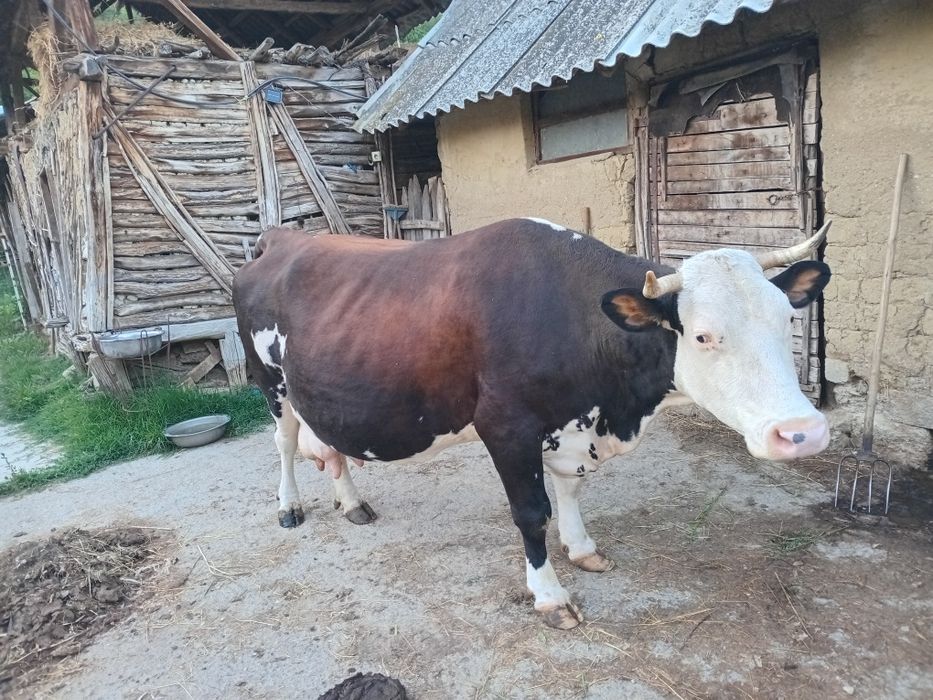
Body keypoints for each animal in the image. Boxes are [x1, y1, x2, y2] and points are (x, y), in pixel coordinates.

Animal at [233, 218, 832, 629]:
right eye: (703, 335)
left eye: (787, 318)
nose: (802, 431)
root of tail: (283, 238)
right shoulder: (506, 426)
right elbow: (530, 513)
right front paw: (550, 596)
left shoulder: (570, 426)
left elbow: (568, 493)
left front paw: (582, 548)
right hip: (271, 384)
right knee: (284, 442)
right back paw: (289, 507)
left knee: (330, 446)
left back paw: (351, 501)